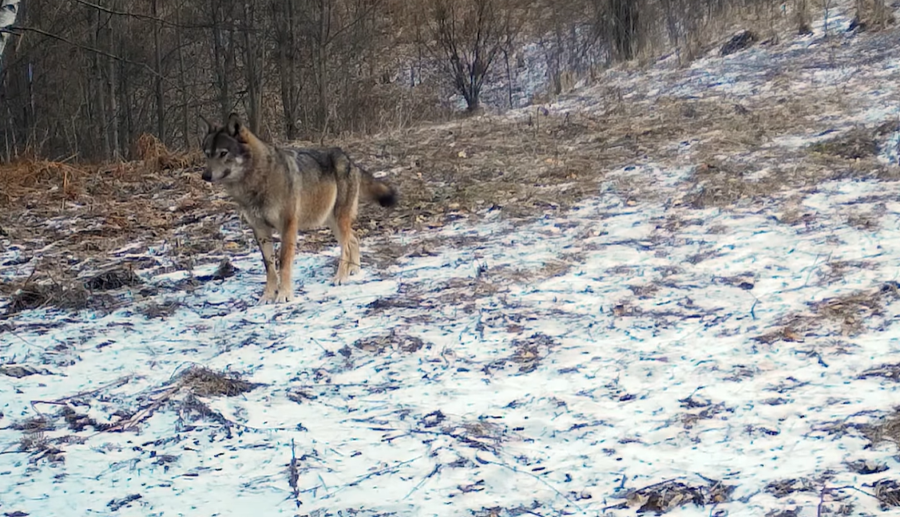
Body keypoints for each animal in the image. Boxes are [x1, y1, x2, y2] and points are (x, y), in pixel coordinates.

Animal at [200, 113, 398, 302]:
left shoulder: (288, 225)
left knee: (346, 246)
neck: (258, 181)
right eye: (207, 154)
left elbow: (284, 262)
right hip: (329, 220)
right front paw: (267, 296)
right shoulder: (259, 229)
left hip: (337, 219)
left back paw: (341, 278)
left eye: (223, 153)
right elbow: (269, 267)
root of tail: (349, 159)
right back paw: (354, 271)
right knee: (354, 239)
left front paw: (284, 295)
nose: (205, 176)